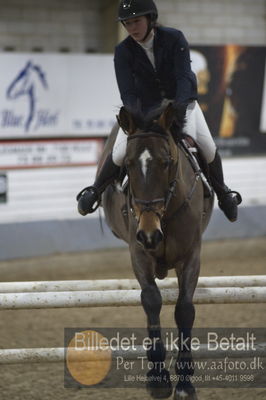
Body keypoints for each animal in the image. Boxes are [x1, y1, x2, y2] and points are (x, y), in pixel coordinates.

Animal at [100, 104, 214, 400]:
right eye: (128, 164)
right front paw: (158, 378)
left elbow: (184, 309)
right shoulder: (139, 253)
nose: (150, 234)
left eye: (166, 162)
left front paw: (184, 383)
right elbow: (152, 300)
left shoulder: (191, 255)